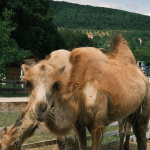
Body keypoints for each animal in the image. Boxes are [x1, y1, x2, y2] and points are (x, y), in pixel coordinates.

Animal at [21, 33, 150, 149]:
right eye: (27, 84)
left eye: (56, 84)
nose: (40, 109)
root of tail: (143, 75)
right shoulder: (79, 126)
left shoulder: (98, 126)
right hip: (131, 112)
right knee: (135, 134)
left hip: (143, 110)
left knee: (141, 136)